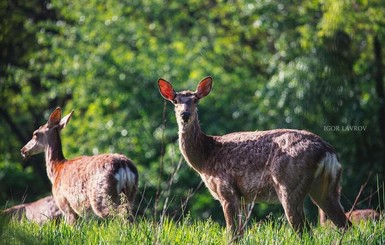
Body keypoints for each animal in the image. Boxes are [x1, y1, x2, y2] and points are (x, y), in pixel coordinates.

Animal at [158, 76, 352, 235]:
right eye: (175, 101)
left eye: (196, 100)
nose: (185, 114)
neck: (206, 157)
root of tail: (327, 151)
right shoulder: (243, 198)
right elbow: (241, 233)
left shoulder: (226, 189)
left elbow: (232, 233)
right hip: (328, 187)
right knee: (345, 224)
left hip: (289, 185)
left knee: (305, 230)